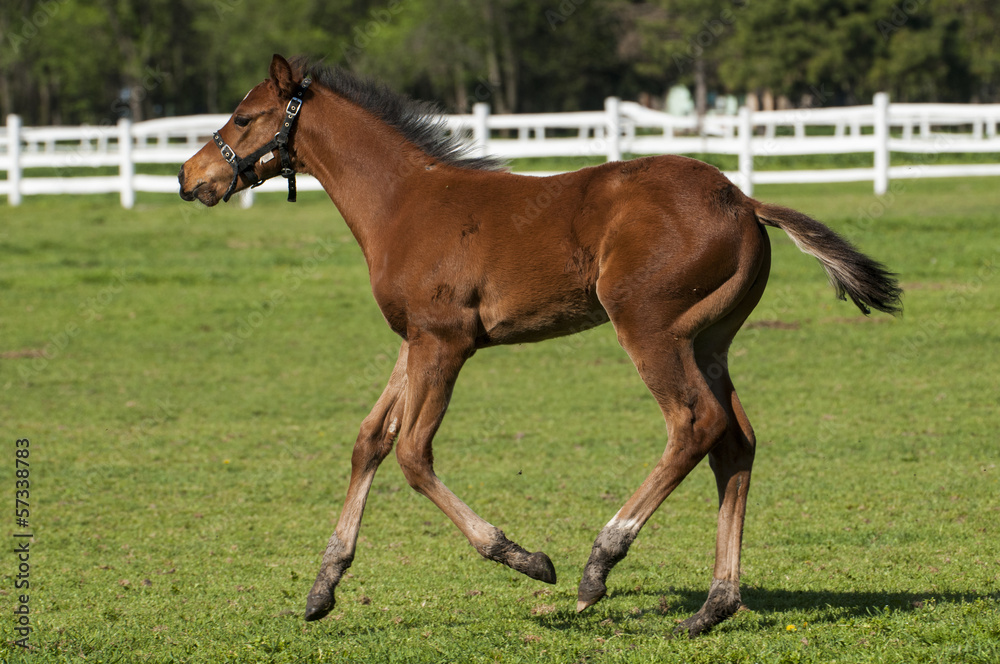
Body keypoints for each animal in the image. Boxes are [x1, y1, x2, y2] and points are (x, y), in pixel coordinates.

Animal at [179, 54, 902, 637]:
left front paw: (525, 558)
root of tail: (742, 200)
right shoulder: (413, 340)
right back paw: (712, 607)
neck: (403, 202)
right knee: (736, 441)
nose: (190, 176)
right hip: (709, 341)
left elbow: (413, 453)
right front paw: (323, 586)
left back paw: (599, 564)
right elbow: (370, 441)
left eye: (243, 117)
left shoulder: (446, 342)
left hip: (649, 327)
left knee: (695, 423)